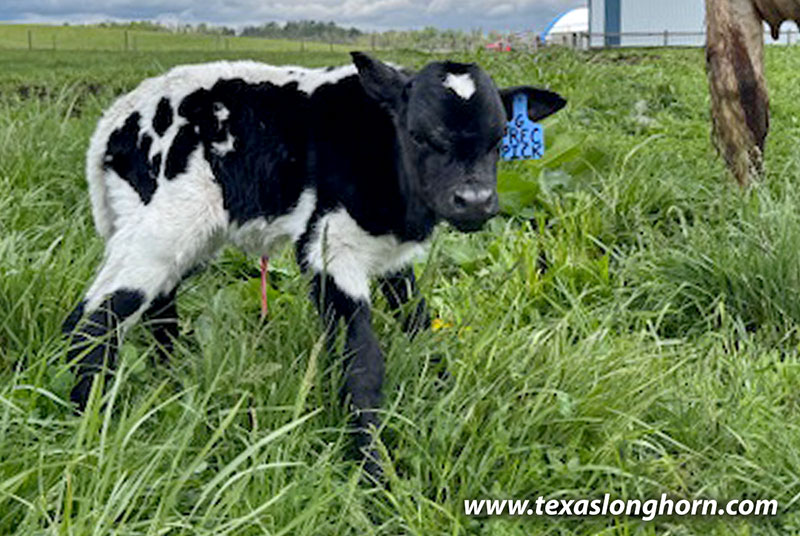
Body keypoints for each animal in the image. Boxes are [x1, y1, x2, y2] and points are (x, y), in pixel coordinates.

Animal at [62, 51, 566, 476]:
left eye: (499, 140)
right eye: (419, 135)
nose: (475, 201)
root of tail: (113, 121)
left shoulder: (391, 254)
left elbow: (420, 326)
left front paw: (446, 396)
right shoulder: (329, 245)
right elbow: (363, 362)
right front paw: (374, 475)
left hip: (182, 238)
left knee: (156, 308)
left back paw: (169, 380)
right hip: (159, 230)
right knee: (92, 322)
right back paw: (89, 430)